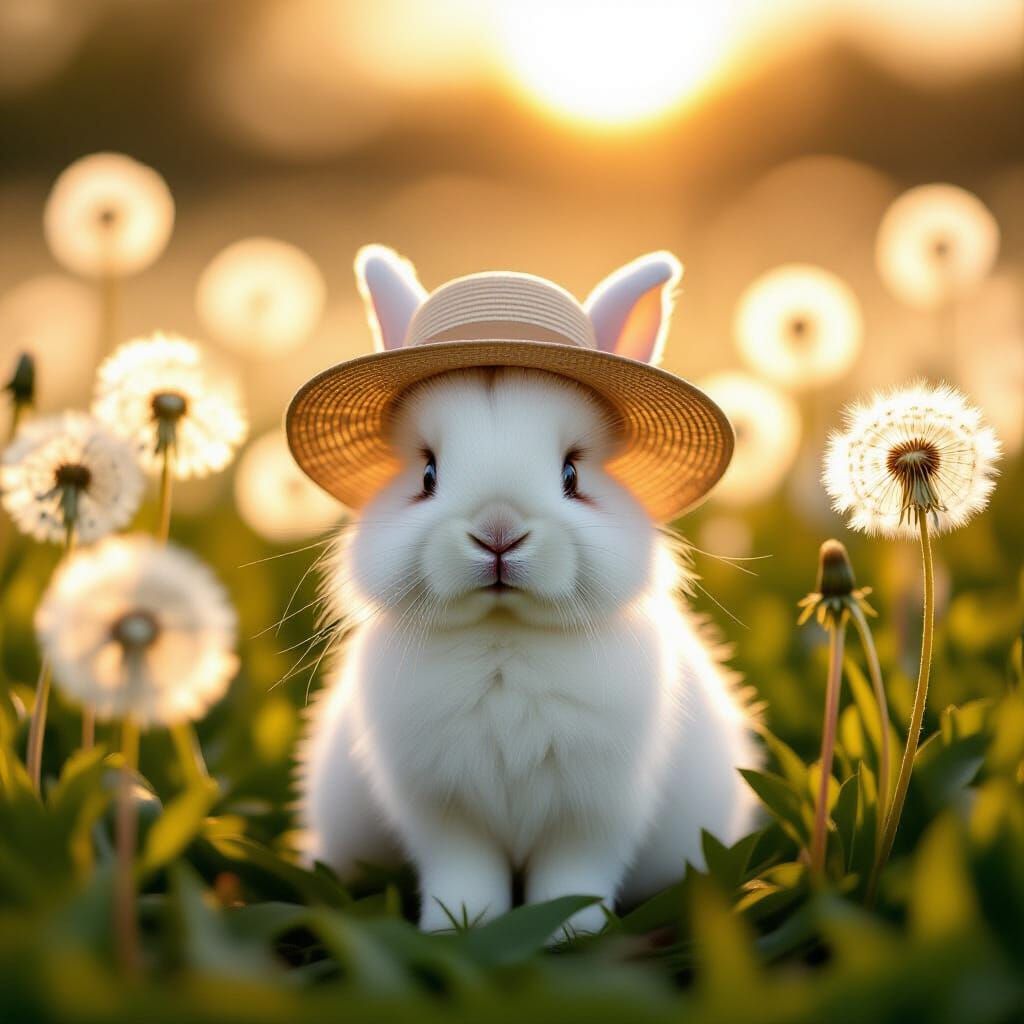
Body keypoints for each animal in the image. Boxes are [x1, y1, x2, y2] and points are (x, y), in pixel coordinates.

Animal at [296, 248, 762, 936]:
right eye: (427, 474)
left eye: (572, 474)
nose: (497, 531)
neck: (504, 640)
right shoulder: (446, 814)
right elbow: (465, 873)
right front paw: (460, 927)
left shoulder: (594, 814)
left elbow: (573, 877)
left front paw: (571, 933)